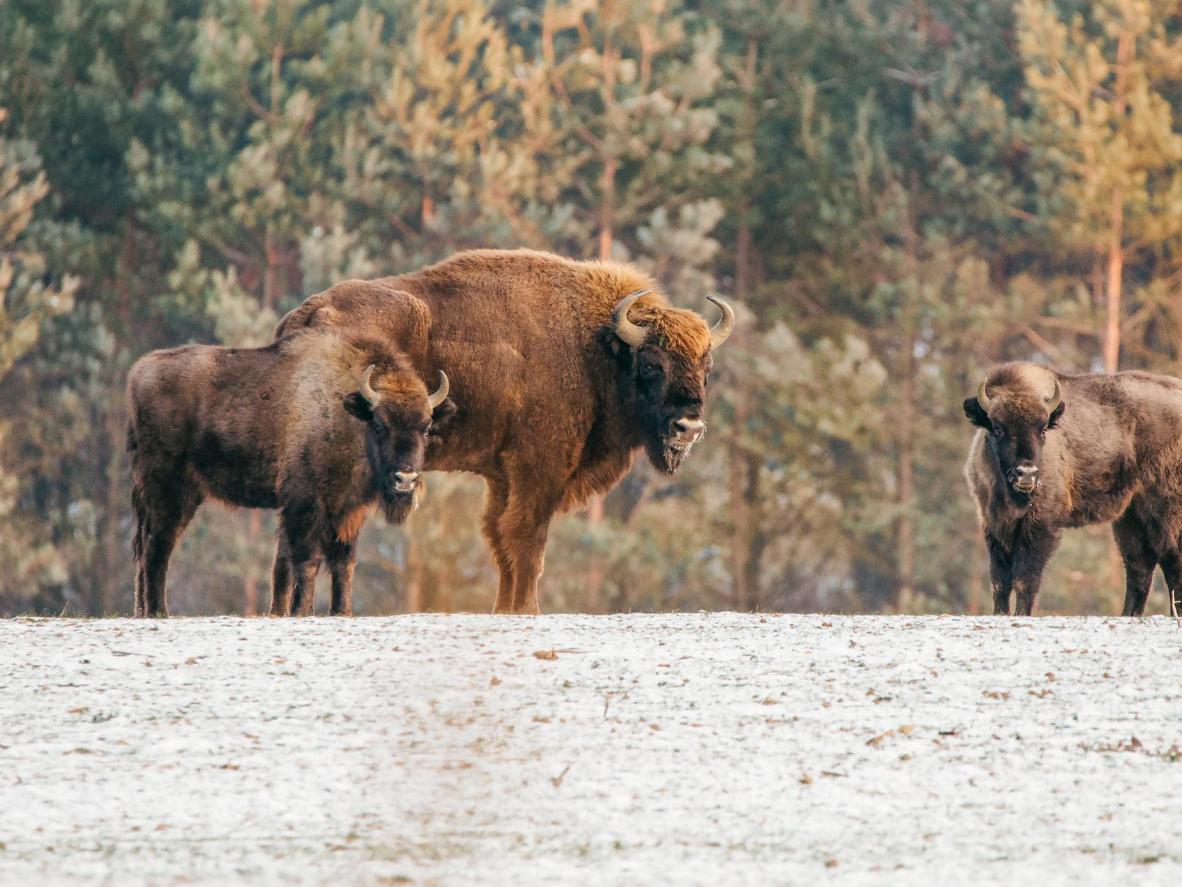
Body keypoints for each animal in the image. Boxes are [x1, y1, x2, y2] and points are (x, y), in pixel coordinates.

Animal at [124, 324, 446, 619]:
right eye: (380, 425)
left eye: (426, 427)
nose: (405, 479)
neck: (346, 411)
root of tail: (139, 372)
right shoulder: (305, 503)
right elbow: (307, 559)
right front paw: (301, 610)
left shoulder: (349, 511)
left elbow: (344, 561)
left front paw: (341, 612)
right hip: (169, 491)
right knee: (157, 550)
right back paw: (159, 612)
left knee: (146, 550)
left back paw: (143, 612)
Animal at [278, 247, 737, 614]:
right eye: (652, 365)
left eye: (707, 369)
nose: (689, 426)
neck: (593, 345)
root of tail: (309, 313)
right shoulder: (539, 469)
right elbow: (527, 537)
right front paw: (527, 609)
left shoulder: (502, 477)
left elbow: (499, 537)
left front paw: (503, 608)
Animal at [959, 361, 1182, 619]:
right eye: (997, 428)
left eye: (1043, 430)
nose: (1027, 473)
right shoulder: (994, 526)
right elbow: (1000, 581)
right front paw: (1000, 614)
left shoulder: (1040, 527)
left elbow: (1025, 578)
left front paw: (1021, 613)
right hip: (1130, 516)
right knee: (1139, 568)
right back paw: (1128, 614)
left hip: (1164, 511)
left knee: (1172, 563)